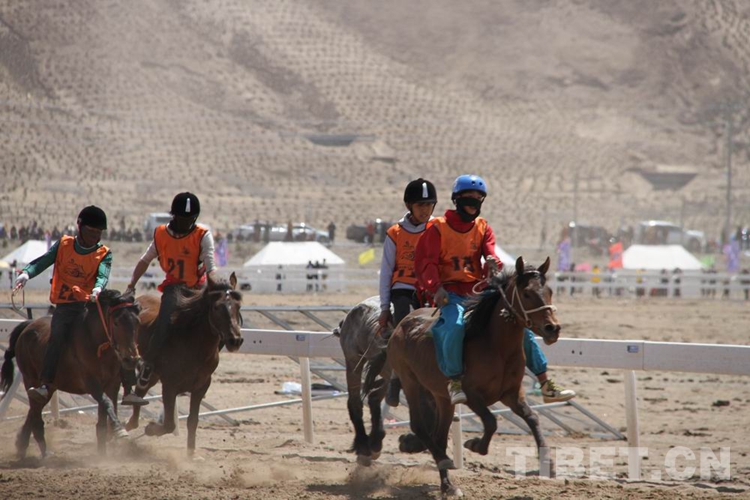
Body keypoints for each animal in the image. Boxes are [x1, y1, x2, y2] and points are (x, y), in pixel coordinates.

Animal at [0, 292, 142, 458]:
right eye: (116, 322)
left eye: (137, 322)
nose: (131, 359)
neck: (96, 343)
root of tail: (27, 327)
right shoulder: (92, 383)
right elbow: (106, 403)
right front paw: (120, 431)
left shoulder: (112, 385)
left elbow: (105, 415)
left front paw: (103, 454)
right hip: (30, 379)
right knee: (36, 416)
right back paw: (45, 453)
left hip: (50, 386)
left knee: (34, 411)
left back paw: (22, 445)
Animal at [125, 276, 244, 456]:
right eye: (216, 307)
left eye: (238, 306)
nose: (235, 340)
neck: (192, 344)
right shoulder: (169, 386)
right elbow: (169, 424)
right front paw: (151, 429)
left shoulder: (201, 386)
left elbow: (192, 421)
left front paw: (191, 455)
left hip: (154, 375)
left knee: (140, 390)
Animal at [382, 258, 564, 496]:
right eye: (526, 293)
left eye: (549, 291)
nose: (553, 328)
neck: (496, 346)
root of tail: (402, 324)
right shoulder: (472, 395)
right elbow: (491, 422)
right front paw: (475, 445)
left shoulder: (512, 393)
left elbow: (532, 418)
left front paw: (548, 463)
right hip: (410, 382)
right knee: (419, 426)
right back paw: (443, 462)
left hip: (442, 397)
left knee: (439, 436)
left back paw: (448, 485)